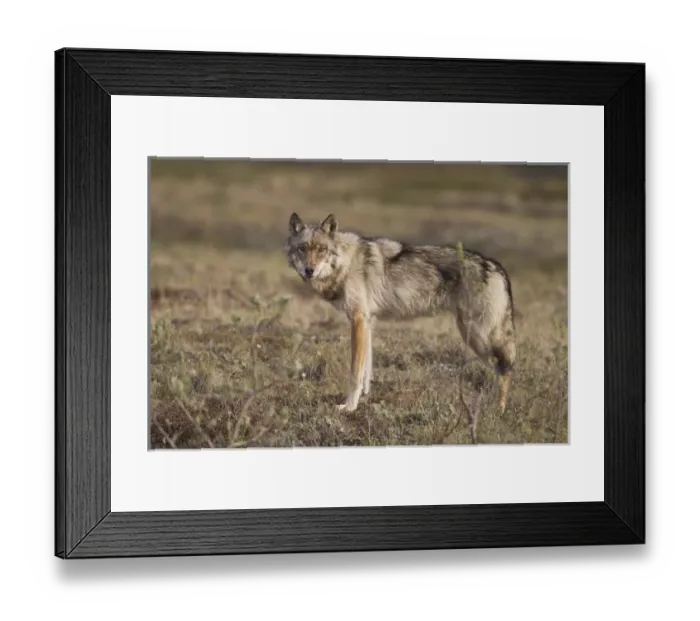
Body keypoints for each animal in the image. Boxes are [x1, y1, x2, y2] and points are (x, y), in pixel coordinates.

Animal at [285, 212, 517, 413]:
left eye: (321, 249)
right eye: (302, 249)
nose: (309, 270)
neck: (345, 264)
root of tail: (495, 265)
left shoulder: (358, 320)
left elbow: (355, 372)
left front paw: (349, 407)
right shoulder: (368, 322)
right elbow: (366, 369)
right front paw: (365, 397)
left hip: (478, 335)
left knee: (505, 368)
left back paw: (499, 409)